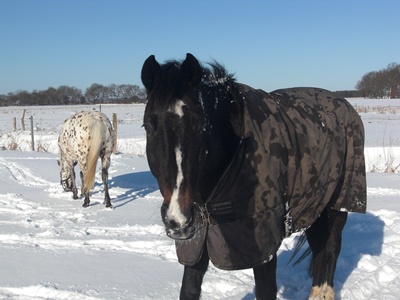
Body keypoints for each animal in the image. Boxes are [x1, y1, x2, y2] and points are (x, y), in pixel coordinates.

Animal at [142, 54, 368, 300]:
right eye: (148, 127)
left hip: (339, 204)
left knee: (330, 251)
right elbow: (189, 289)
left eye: (200, 124)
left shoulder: (264, 249)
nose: (179, 219)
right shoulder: (196, 245)